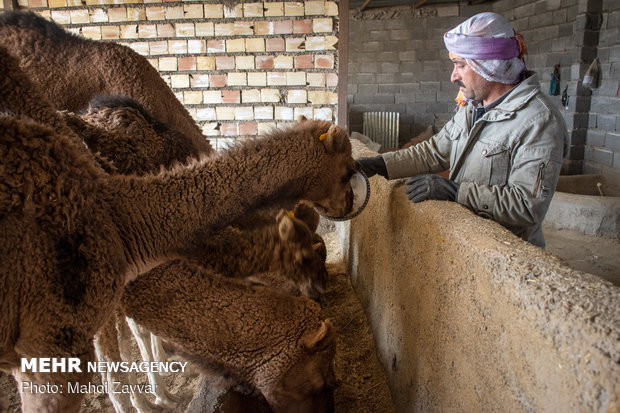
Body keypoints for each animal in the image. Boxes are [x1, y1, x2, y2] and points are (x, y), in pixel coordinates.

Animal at [0, 46, 356, 410]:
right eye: (348, 170)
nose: (321, 287)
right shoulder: (59, 336)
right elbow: (112, 366)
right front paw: (152, 399)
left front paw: (163, 390)